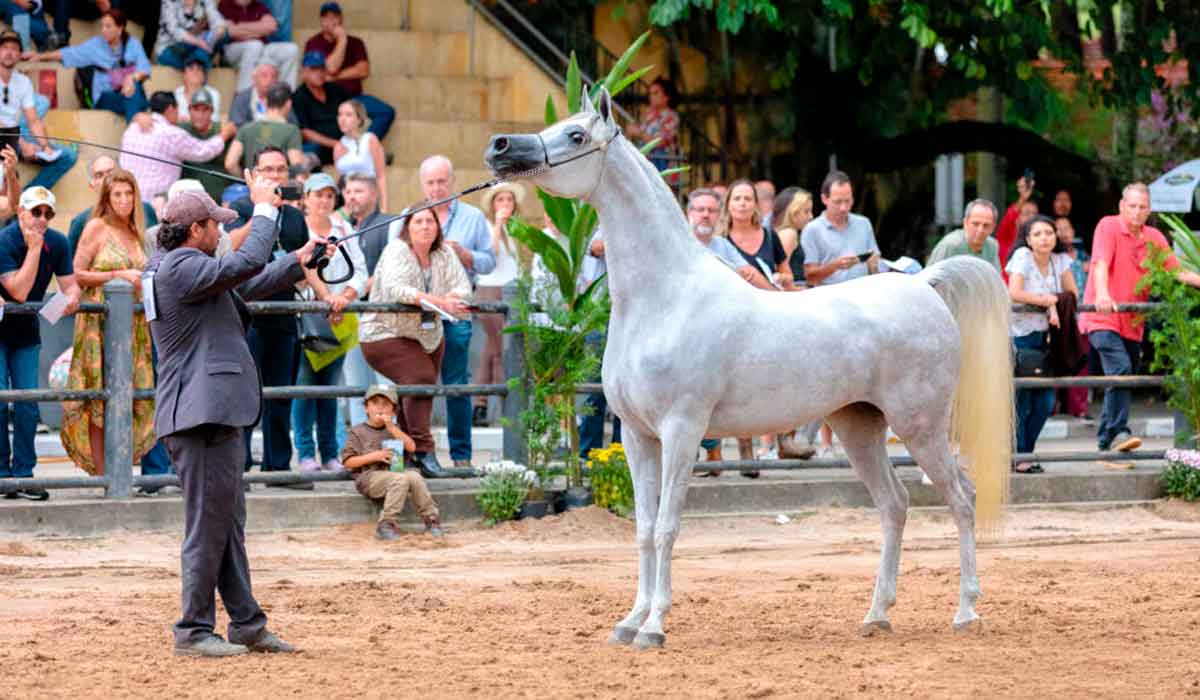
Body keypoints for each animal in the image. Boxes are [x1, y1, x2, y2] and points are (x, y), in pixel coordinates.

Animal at [482, 87, 1008, 653]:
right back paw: (876, 615)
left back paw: (965, 611)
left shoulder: (682, 431)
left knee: (962, 497)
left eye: (576, 135)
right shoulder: (637, 436)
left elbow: (667, 526)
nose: (500, 147)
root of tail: (923, 283)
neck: (664, 298)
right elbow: (642, 528)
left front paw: (655, 626)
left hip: (920, 427)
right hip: (858, 426)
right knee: (895, 505)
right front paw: (629, 621)